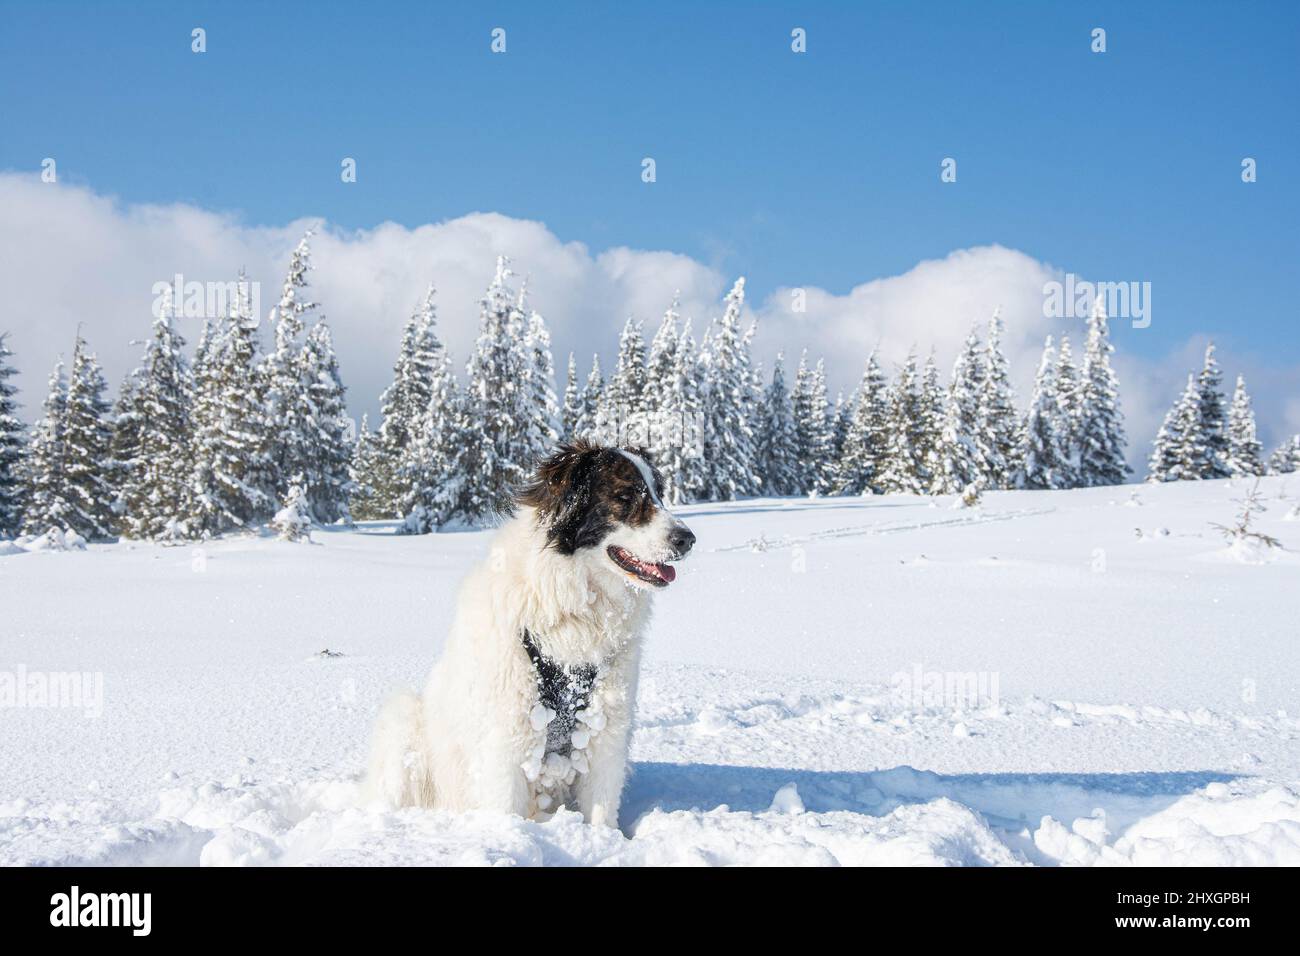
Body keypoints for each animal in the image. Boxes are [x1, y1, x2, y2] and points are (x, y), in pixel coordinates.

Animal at [366, 439, 696, 822]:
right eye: (625, 495)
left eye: (659, 494)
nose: (688, 539)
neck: (577, 602)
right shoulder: (506, 735)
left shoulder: (606, 730)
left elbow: (601, 812)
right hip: (403, 716)